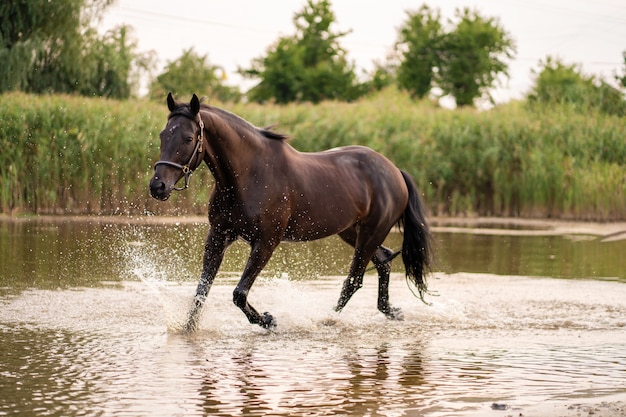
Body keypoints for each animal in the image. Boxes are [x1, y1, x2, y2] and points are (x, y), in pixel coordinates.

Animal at [149, 92, 432, 330]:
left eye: (188, 138)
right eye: (163, 135)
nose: (158, 186)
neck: (247, 176)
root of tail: (395, 171)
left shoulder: (266, 242)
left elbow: (239, 293)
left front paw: (267, 319)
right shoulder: (218, 236)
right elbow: (202, 290)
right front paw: (188, 330)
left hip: (372, 233)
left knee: (353, 281)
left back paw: (326, 319)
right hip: (352, 232)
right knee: (383, 260)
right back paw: (391, 311)